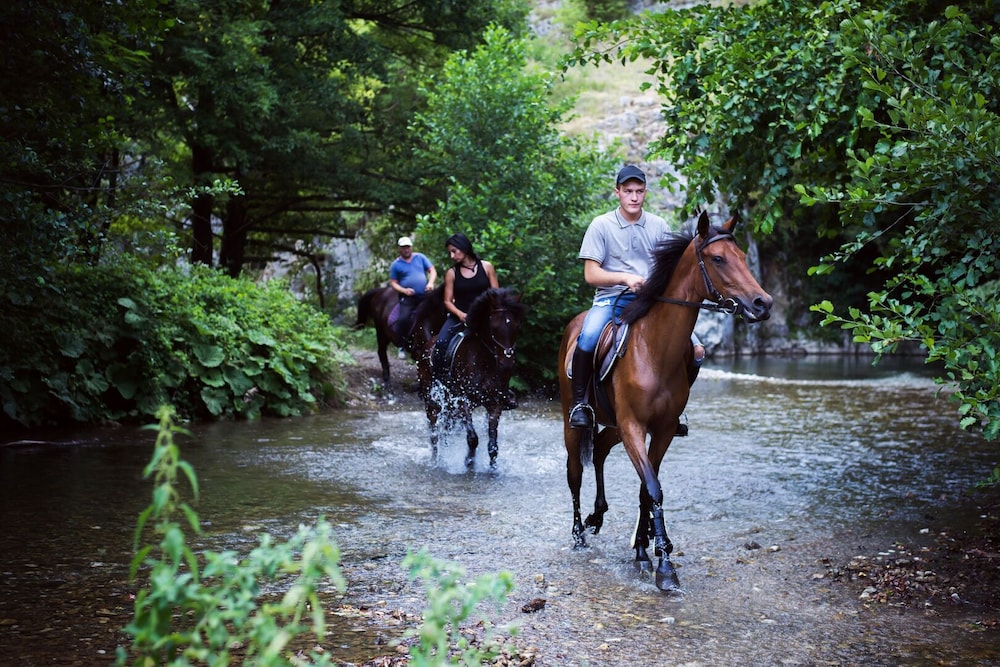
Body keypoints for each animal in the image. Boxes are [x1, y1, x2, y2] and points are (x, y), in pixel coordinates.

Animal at [410, 288, 528, 470]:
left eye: (517, 325)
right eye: (494, 327)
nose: (507, 362)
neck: (484, 361)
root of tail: (428, 344)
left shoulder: (495, 403)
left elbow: (493, 445)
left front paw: (493, 469)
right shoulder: (464, 401)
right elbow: (473, 438)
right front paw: (469, 462)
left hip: (449, 405)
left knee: (445, 430)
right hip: (432, 401)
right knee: (434, 433)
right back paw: (435, 461)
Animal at [556, 211, 772, 592]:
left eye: (744, 257)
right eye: (718, 259)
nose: (763, 304)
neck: (654, 350)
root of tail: (574, 325)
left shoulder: (662, 430)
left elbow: (647, 487)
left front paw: (646, 551)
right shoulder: (633, 426)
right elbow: (654, 489)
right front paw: (666, 568)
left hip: (614, 427)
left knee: (599, 450)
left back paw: (598, 516)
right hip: (575, 421)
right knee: (575, 471)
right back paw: (579, 533)